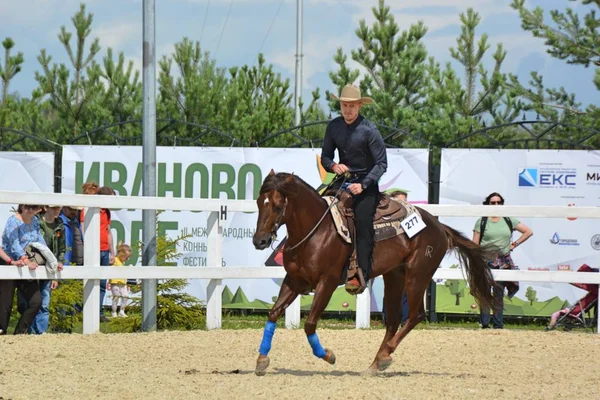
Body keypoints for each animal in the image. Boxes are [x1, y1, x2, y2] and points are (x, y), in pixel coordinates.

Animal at [251, 171, 494, 376]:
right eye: (259, 203)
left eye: (277, 206)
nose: (259, 241)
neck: (316, 231)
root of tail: (439, 226)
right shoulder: (294, 281)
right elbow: (273, 313)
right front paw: (262, 360)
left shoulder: (327, 282)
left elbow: (310, 323)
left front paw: (328, 355)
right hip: (394, 276)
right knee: (394, 320)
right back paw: (377, 362)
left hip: (417, 275)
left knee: (415, 315)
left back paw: (386, 354)